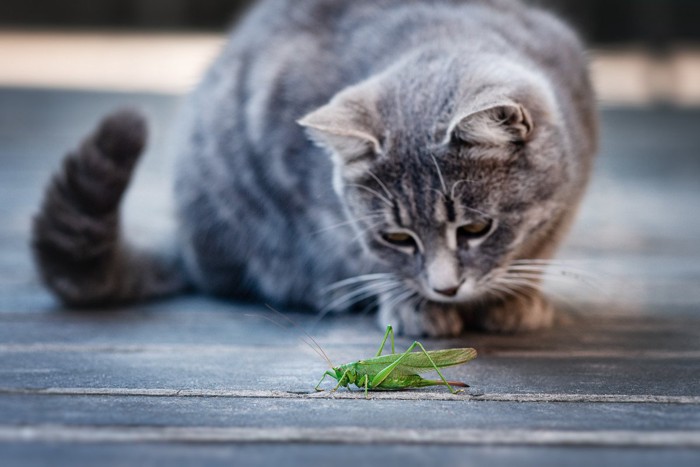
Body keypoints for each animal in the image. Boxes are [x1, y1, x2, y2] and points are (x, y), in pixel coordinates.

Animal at [31, 0, 596, 336]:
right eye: (397, 238)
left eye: (476, 229)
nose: (445, 289)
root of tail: (189, 248)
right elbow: (363, 257)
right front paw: (415, 307)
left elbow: (538, 244)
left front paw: (516, 298)